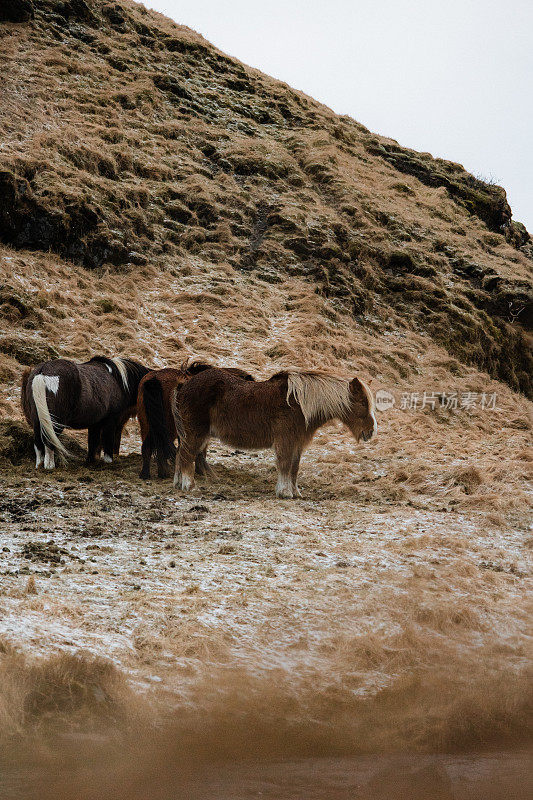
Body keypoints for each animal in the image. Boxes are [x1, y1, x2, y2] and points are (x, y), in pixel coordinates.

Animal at [21, 356, 149, 468]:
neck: (118, 380)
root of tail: (43, 371)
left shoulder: (95, 423)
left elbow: (93, 442)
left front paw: (91, 461)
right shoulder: (110, 420)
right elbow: (107, 440)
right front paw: (108, 461)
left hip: (38, 419)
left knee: (38, 443)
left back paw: (39, 465)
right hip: (54, 421)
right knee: (49, 442)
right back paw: (49, 466)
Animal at [172, 368, 376, 494]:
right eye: (363, 402)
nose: (371, 431)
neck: (299, 405)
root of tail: (184, 385)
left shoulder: (297, 443)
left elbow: (294, 467)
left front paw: (295, 492)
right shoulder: (286, 441)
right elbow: (285, 465)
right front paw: (285, 492)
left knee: (180, 456)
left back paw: (178, 484)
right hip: (195, 434)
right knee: (186, 457)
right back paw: (189, 486)